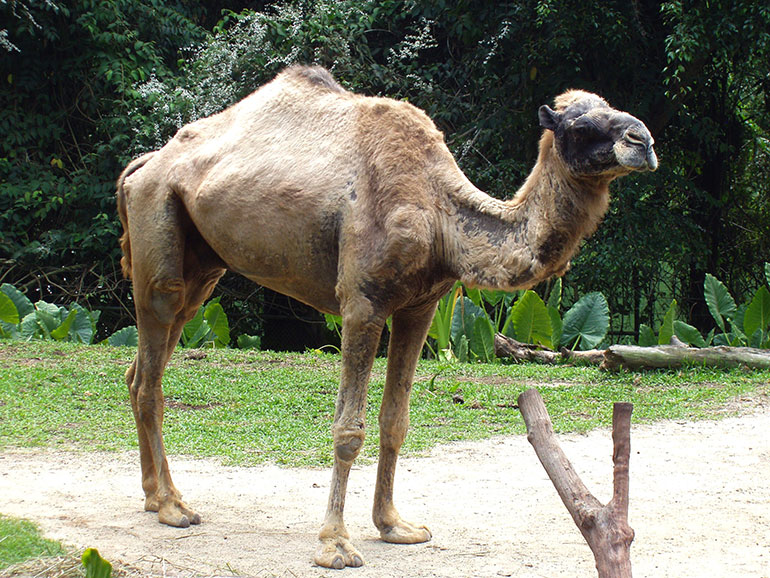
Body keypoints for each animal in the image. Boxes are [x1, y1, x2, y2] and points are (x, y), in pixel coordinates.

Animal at [115, 66, 656, 568]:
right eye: (580, 124)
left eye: (612, 107)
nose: (644, 141)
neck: (441, 216)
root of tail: (142, 167)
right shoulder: (362, 303)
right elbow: (347, 429)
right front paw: (335, 544)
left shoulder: (422, 307)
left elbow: (395, 419)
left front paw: (395, 526)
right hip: (158, 236)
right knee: (150, 370)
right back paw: (173, 507)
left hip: (203, 269)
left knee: (140, 370)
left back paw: (153, 497)